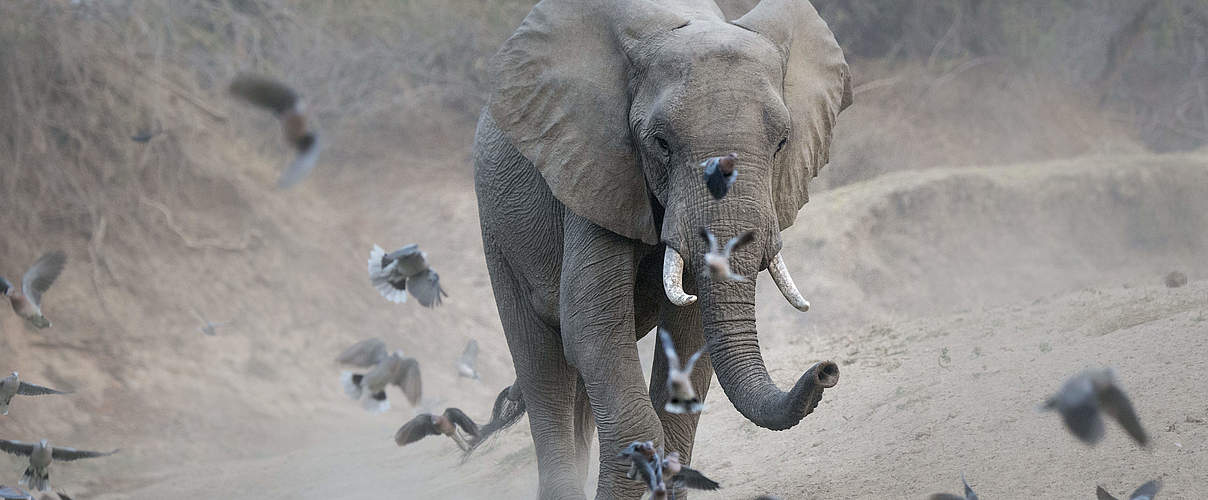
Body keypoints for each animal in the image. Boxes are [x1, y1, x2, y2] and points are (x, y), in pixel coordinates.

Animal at [471, 0, 850, 495]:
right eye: (661, 144)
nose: (827, 369)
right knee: (544, 368)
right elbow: (592, 327)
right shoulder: (596, 171)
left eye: (782, 144)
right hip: (497, 230)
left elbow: (689, 334)